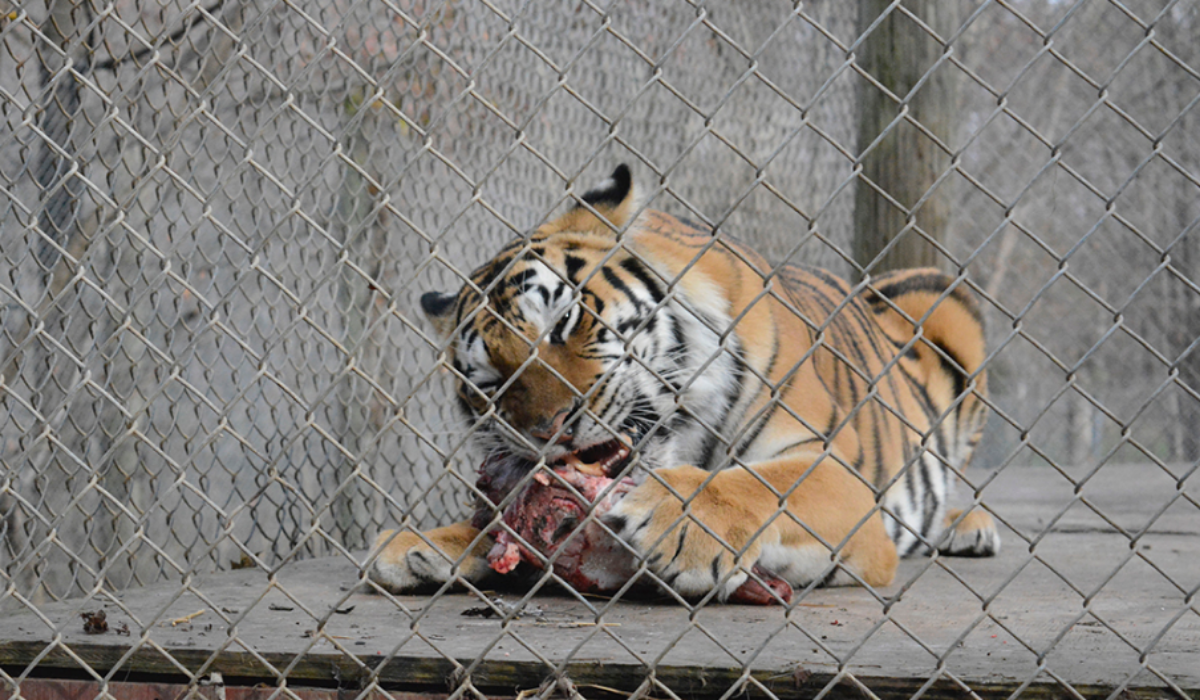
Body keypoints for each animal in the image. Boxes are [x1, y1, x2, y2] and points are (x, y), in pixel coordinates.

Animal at [369, 165, 998, 602]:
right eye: (491, 382)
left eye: (563, 322)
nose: (550, 430)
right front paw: (423, 543)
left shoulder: (838, 474)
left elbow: (762, 483)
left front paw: (685, 526)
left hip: (947, 301)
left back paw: (968, 526)